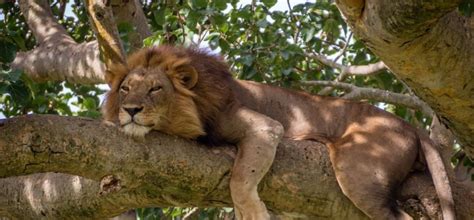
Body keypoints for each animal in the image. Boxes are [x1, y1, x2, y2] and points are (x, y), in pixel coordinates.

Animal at [103, 45, 456, 219]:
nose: (131, 110)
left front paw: (252, 213)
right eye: (126, 89)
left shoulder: (265, 126)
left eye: (155, 89)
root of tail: (411, 126)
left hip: (360, 173)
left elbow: (240, 179)